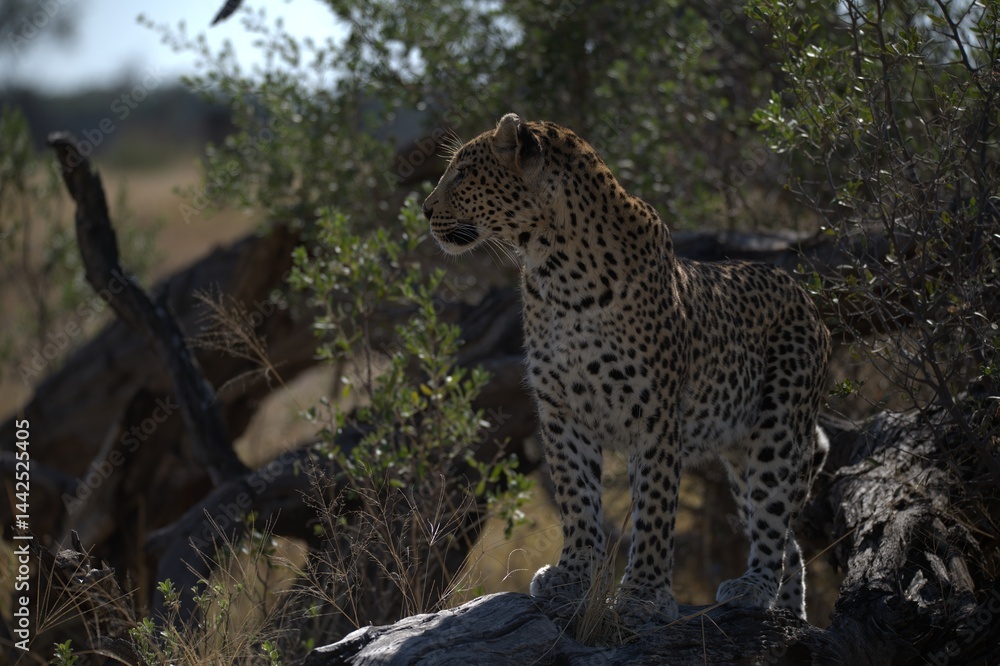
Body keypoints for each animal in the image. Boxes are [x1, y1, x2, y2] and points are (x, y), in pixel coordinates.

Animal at [422, 113, 831, 626]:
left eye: (461, 173)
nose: (424, 209)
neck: (557, 270)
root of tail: (806, 297)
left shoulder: (653, 415)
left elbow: (654, 508)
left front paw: (643, 595)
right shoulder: (560, 410)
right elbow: (577, 498)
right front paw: (572, 577)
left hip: (778, 430)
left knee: (774, 519)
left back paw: (754, 587)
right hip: (739, 453)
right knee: (785, 537)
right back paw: (787, 612)